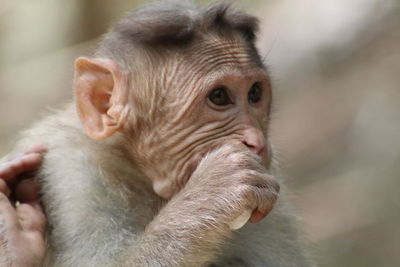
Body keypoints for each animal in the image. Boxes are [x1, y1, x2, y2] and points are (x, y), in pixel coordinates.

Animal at [1, 1, 310, 266]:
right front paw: (211, 194)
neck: (141, 175)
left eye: (254, 93)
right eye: (219, 96)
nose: (256, 142)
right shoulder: (72, 173)